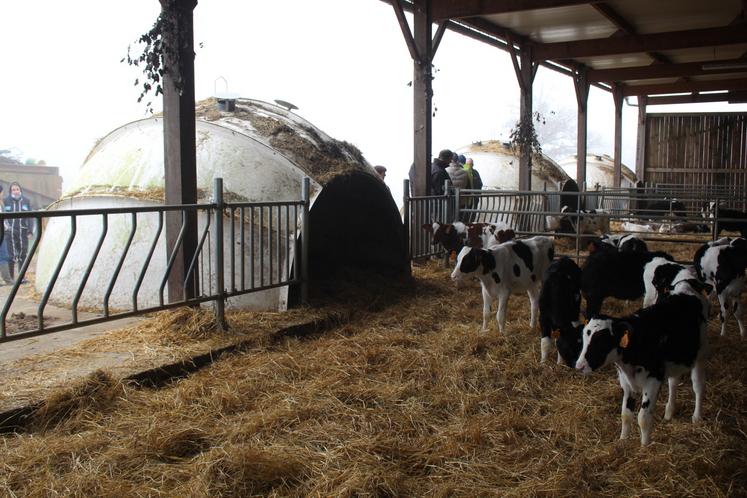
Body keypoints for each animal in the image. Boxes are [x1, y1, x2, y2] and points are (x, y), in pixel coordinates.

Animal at [576, 278, 712, 446]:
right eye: (584, 337)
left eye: (601, 341)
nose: (579, 366)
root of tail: (688, 283)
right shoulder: (626, 381)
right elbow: (625, 414)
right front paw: (623, 441)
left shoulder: (653, 378)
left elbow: (643, 417)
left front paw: (644, 446)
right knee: (673, 382)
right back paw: (669, 412)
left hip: (701, 352)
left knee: (698, 386)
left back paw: (697, 417)